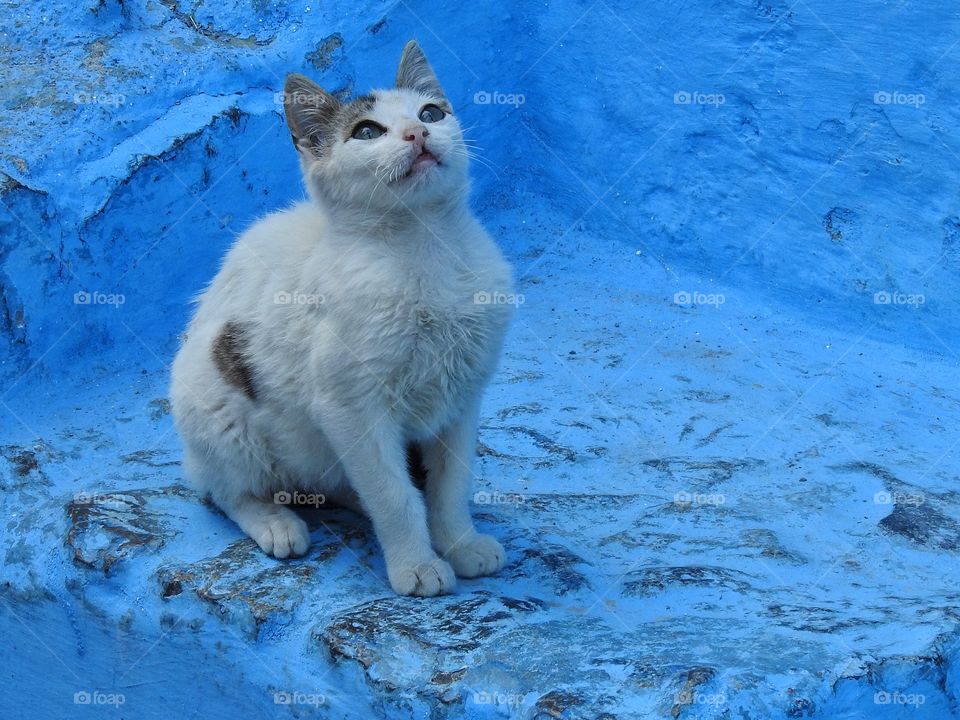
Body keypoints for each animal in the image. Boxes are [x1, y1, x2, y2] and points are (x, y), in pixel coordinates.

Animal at [172, 42, 516, 600]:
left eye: (431, 113)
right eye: (367, 133)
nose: (418, 134)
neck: (425, 248)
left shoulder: (463, 395)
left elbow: (450, 483)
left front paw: (459, 542)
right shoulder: (349, 406)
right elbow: (393, 495)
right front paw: (417, 564)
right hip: (212, 410)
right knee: (223, 492)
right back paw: (275, 521)